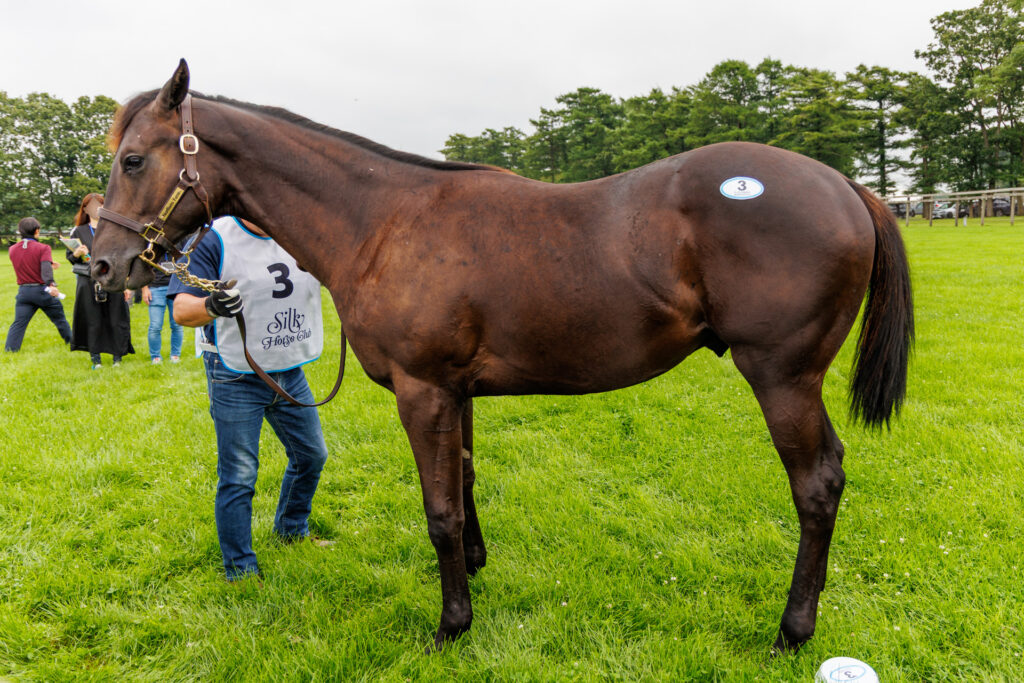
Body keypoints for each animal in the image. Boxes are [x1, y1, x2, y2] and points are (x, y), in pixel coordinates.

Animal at [91, 60, 913, 652]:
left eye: (132, 160)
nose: (102, 265)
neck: (382, 220)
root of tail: (844, 184)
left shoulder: (423, 391)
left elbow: (439, 510)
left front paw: (451, 625)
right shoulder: (456, 393)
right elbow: (464, 483)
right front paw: (476, 575)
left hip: (782, 376)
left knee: (817, 485)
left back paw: (792, 632)